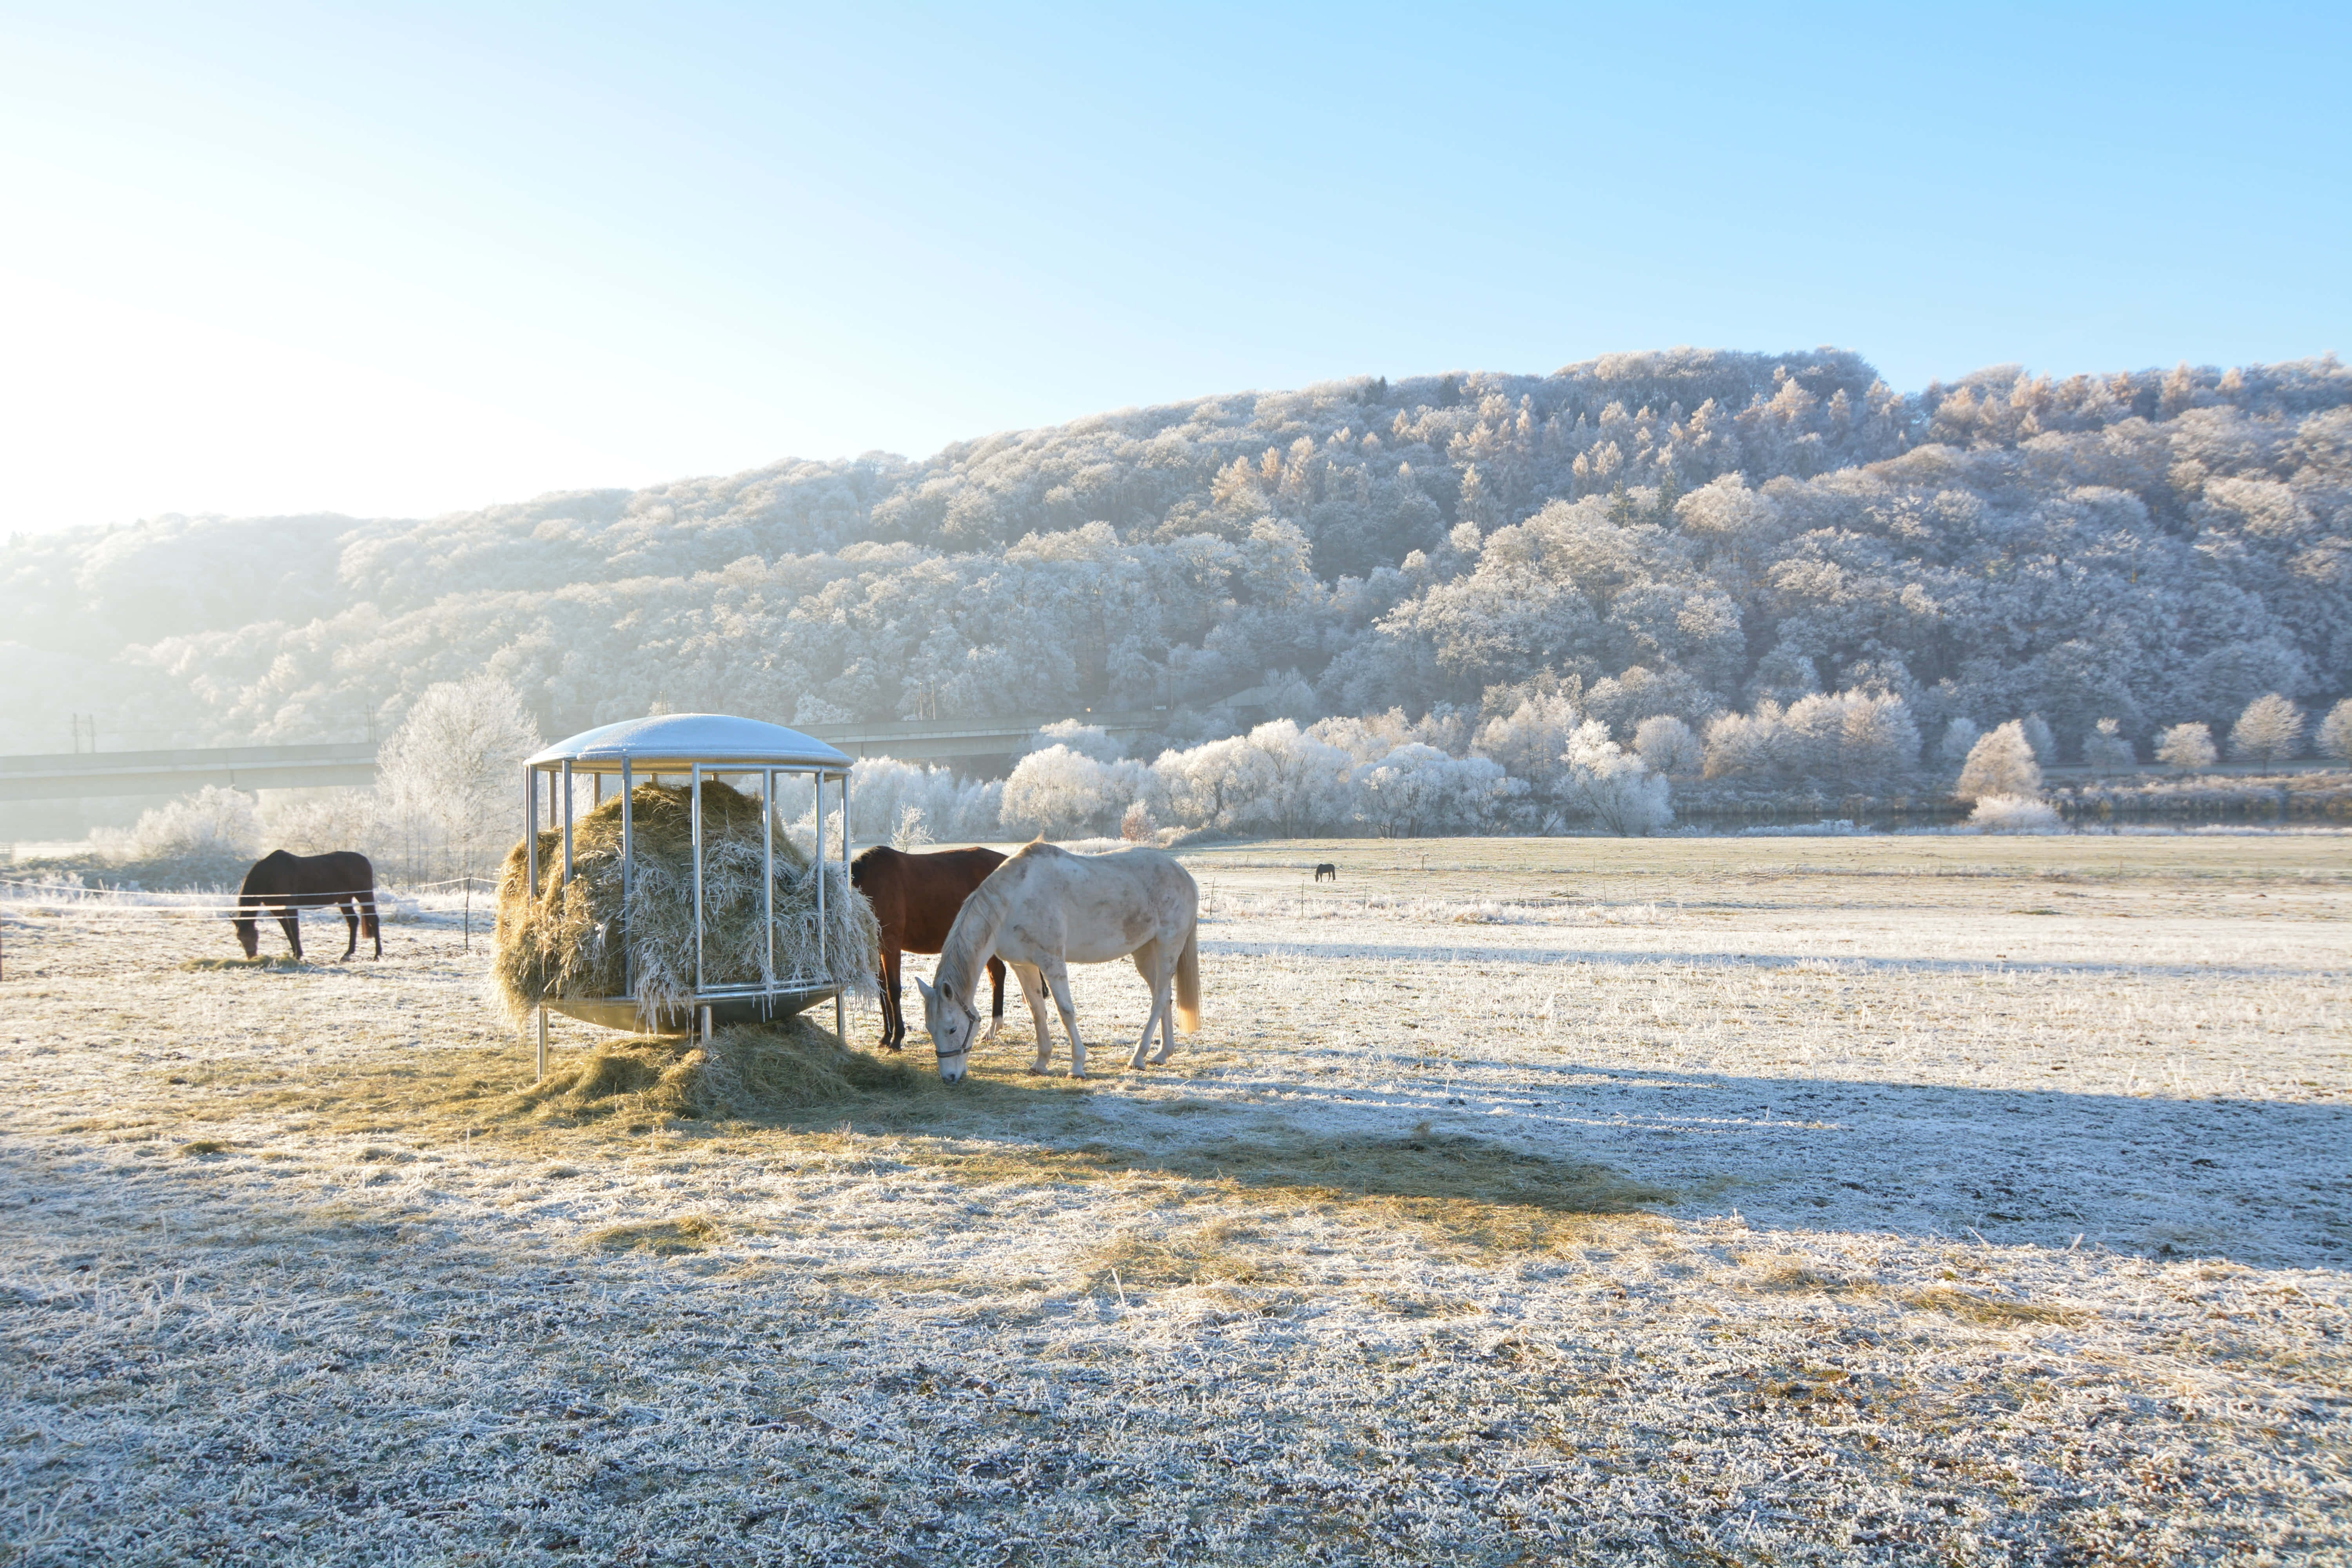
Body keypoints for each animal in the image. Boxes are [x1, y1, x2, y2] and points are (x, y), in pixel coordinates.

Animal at [234, 849, 381, 961]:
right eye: (240, 939)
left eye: (253, 936)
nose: (252, 956)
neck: (270, 875)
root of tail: (365, 860)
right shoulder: (277, 909)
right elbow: (287, 930)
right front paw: (295, 953)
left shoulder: (290, 906)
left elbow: (295, 930)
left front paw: (298, 954)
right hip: (344, 899)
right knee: (353, 921)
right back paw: (348, 953)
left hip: (364, 895)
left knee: (374, 920)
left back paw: (377, 954)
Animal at [850, 845, 1007, 1051]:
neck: (870, 881)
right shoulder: (877, 948)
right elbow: (883, 991)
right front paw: (886, 1036)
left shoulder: (891, 944)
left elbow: (894, 991)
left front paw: (897, 1038)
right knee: (997, 974)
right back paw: (992, 1031)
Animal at [916, 841, 1199, 1082]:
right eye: (930, 1029)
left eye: (952, 1029)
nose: (949, 1077)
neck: (1013, 902)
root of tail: (1184, 875)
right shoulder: (1024, 966)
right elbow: (1037, 1011)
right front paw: (1041, 1063)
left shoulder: (1051, 962)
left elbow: (1065, 1012)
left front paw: (1077, 1066)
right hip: (1144, 951)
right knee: (1164, 996)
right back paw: (1162, 1054)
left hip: (1168, 946)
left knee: (1160, 998)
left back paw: (1138, 1058)